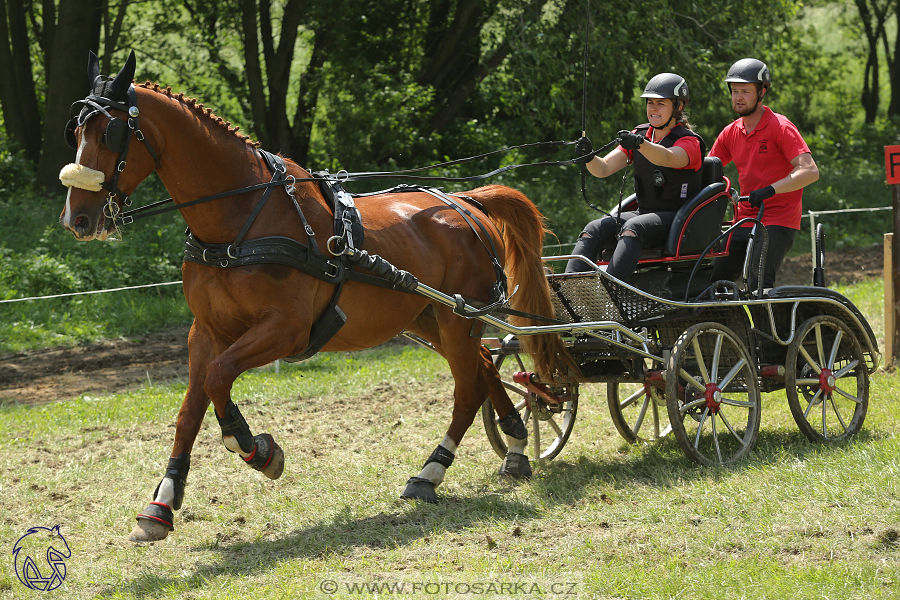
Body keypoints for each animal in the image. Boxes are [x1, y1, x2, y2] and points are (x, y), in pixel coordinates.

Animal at [59, 52, 572, 544]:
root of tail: (467, 202)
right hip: (429, 316)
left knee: (467, 390)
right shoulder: (205, 331)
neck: (241, 218)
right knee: (486, 369)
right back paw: (517, 446)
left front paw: (255, 448)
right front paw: (161, 505)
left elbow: (219, 378)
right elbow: (190, 411)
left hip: (458, 317)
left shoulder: (286, 330)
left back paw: (430, 473)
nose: (76, 220)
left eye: (110, 132)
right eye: (75, 131)